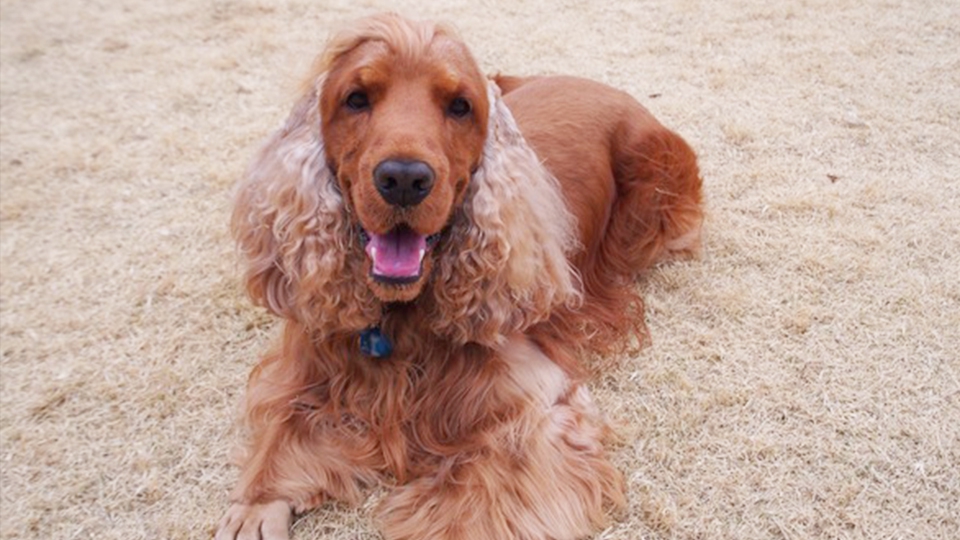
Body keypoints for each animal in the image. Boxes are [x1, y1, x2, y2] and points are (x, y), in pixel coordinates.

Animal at [216, 12, 696, 540]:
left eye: (460, 106)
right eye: (356, 98)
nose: (404, 179)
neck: (399, 316)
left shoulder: (537, 406)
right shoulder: (310, 360)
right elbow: (284, 422)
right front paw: (257, 502)